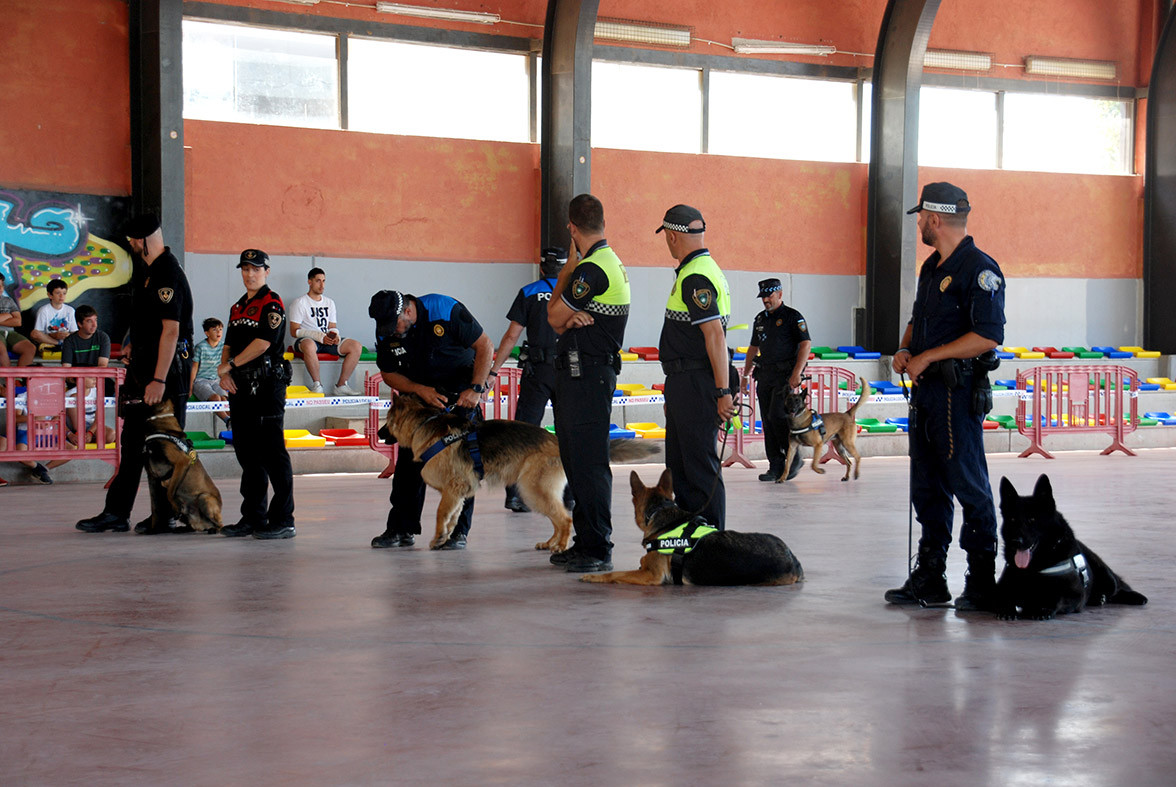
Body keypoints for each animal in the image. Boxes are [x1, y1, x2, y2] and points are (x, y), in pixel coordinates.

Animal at [141, 399, 223, 534]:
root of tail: (202, 524)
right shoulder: (152, 476)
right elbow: (155, 507)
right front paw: (153, 529)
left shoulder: (181, 462)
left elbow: (169, 492)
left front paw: (175, 506)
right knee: (193, 527)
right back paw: (183, 529)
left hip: (204, 498)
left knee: (219, 524)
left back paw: (215, 529)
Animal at [385, 392, 663, 552]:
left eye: (386, 422)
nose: (378, 433)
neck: (424, 424)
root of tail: (555, 439)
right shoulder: (459, 493)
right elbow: (452, 517)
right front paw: (445, 538)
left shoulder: (453, 489)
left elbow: (441, 514)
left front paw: (438, 538)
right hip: (537, 492)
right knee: (557, 518)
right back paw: (550, 542)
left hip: (532, 490)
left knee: (565, 519)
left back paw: (560, 547)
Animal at [992, 472, 1147, 621]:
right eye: (1012, 520)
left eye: (1032, 519)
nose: (1015, 541)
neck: (1035, 567)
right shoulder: (1002, 587)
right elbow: (1003, 597)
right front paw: (1007, 610)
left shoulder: (1075, 595)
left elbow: (1056, 597)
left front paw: (1041, 608)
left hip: (1107, 577)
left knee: (1118, 587)